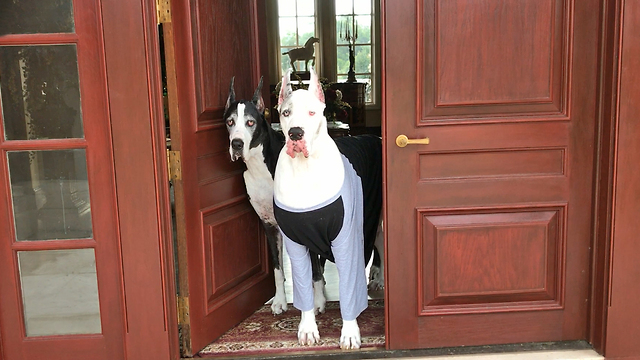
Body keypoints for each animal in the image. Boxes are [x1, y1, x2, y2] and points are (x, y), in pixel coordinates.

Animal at [272, 69, 382, 350]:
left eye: (312, 112)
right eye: (286, 113)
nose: (295, 133)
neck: (305, 170)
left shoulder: (347, 240)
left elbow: (349, 288)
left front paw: (350, 333)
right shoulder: (296, 242)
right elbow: (305, 282)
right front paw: (308, 328)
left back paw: (378, 278)